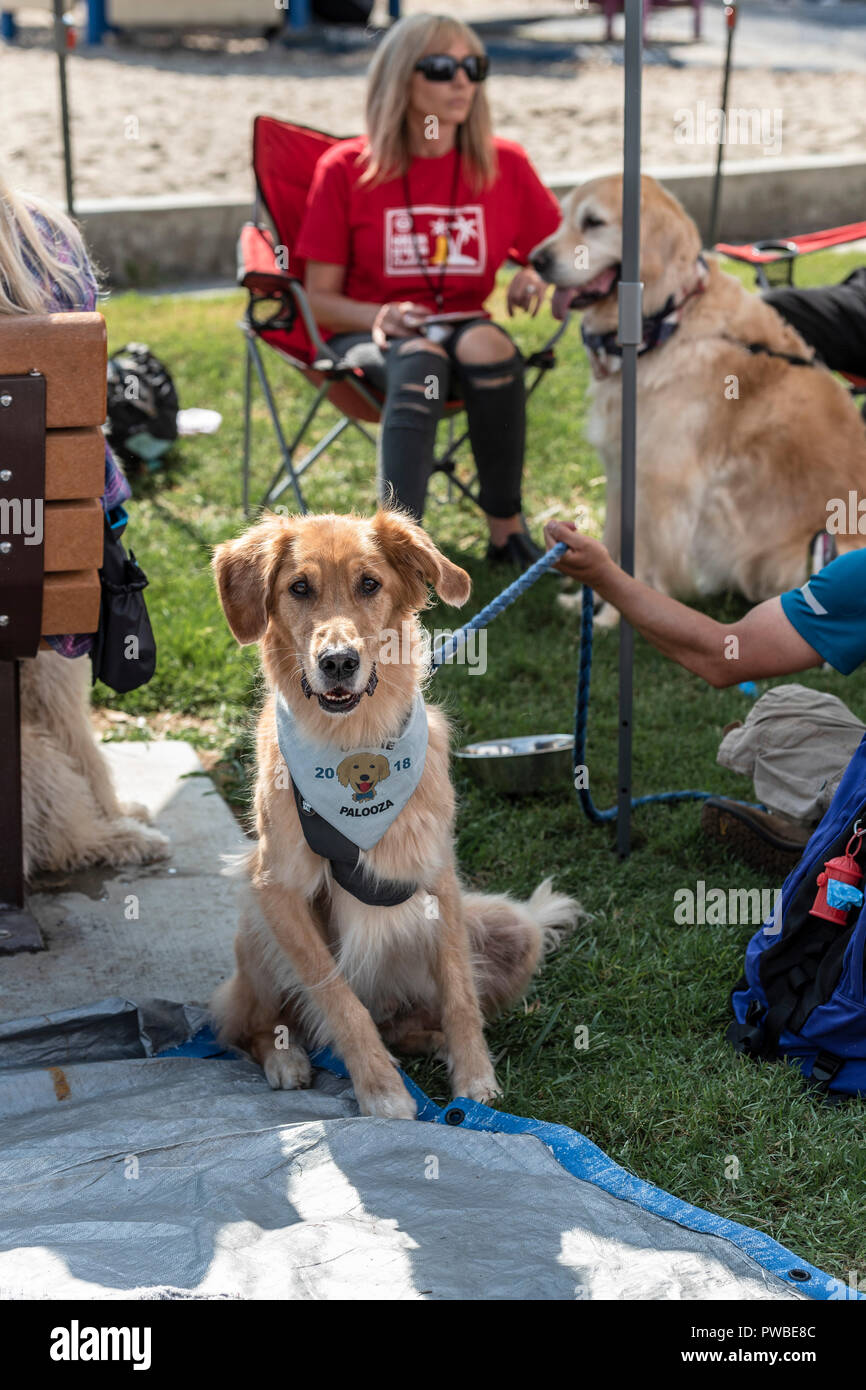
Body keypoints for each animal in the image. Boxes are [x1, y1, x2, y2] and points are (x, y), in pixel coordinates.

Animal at [209, 508, 575, 1117]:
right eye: (299, 588)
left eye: (369, 584)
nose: (338, 662)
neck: (353, 738)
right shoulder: (276, 886)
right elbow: (337, 997)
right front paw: (381, 1090)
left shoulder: (437, 873)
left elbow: (458, 990)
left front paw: (474, 1079)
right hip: (254, 930)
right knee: (249, 1025)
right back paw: (287, 1057)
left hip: (513, 928)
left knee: (412, 1019)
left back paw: (433, 1041)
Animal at [530, 173, 866, 619]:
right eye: (563, 217)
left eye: (593, 222)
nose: (534, 261)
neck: (669, 322)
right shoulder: (621, 469)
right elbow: (615, 543)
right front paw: (586, 599)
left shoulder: (658, 481)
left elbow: (638, 560)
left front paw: (611, 618)